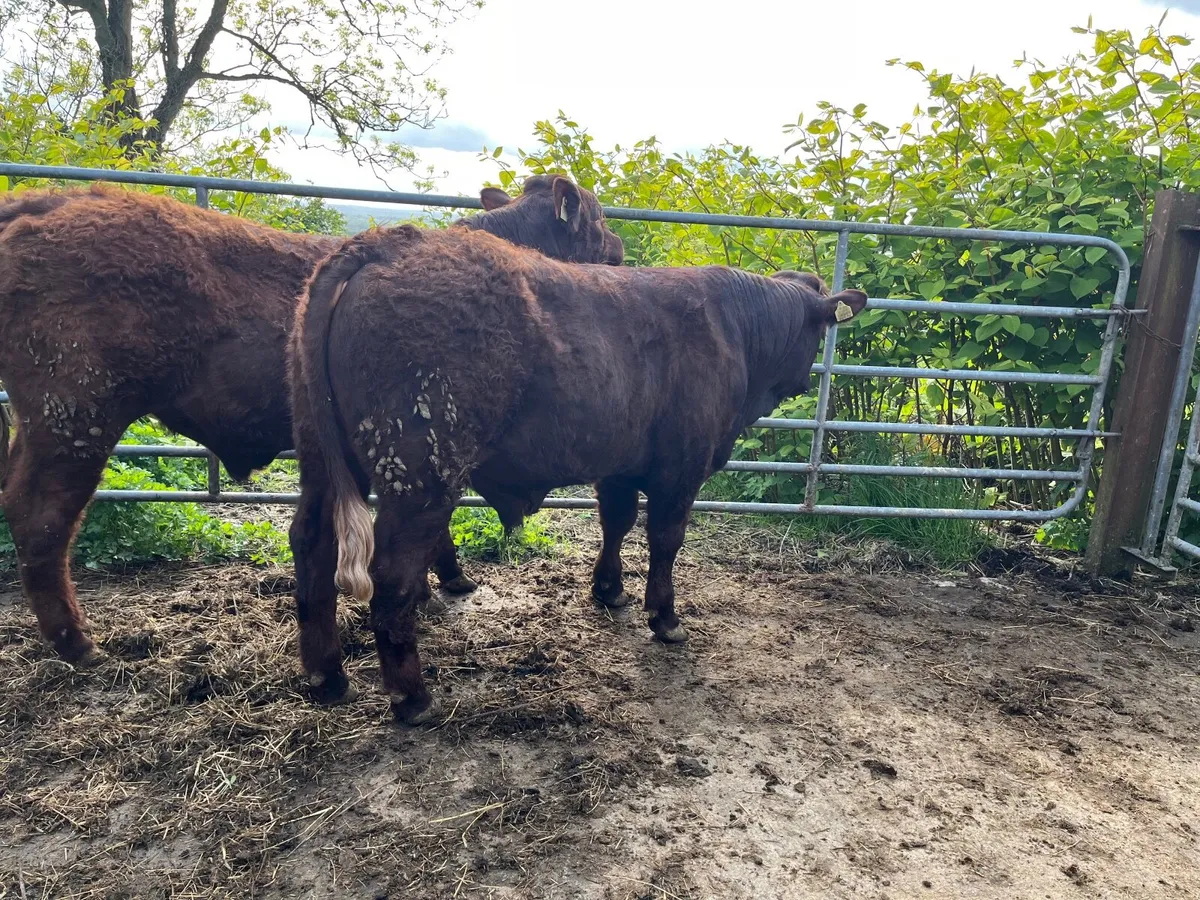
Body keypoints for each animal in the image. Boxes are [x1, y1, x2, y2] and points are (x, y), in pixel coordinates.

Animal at [0, 175, 623, 666]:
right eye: (595, 217)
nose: (618, 248)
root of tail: (47, 202)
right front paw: (448, 581)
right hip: (75, 419)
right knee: (42, 518)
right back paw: (80, 644)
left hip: (36, 426)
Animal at [289, 225, 868, 723]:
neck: (736, 327)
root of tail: (386, 243)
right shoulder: (681, 466)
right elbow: (665, 539)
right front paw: (665, 618)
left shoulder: (620, 464)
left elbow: (616, 523)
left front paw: (609, 590)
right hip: (420, 473)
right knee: (392, 576)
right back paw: (412, 697)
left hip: (320, 457)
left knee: (312, 545)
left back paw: (327, 678)